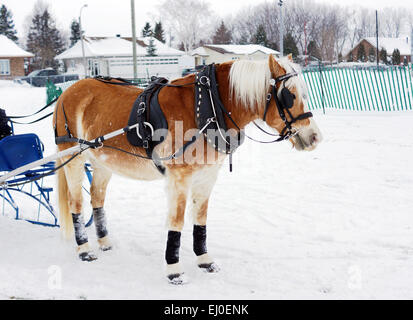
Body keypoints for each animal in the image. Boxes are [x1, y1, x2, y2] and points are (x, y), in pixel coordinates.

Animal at [53, 53, 322, 284]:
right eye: (289, 95)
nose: (315, 137)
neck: (207, 107)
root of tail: (67, 92)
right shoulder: (179, 177)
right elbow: (177, 220)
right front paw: (174, 270)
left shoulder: (207, 176)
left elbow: (200, 217)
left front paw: (204, 260)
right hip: (74, 158)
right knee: (76, 202)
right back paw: (84, 249)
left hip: (102, 162)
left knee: (97, 199)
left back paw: (105, 242)